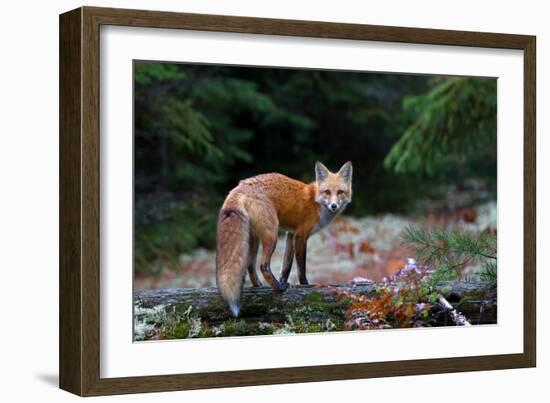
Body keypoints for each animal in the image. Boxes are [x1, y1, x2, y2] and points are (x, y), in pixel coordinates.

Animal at [216, 160, 354, 316]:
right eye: (327, 192)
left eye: (340, 192)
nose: (334, 205)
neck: (316, 202)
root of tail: (240, 186)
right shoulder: (301, 236)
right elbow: (301, 268)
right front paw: (305, 286)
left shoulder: (290, 235)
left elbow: (286, 266)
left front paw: (283, 280)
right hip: (272, 234)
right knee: (263, 266)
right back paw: (278, 288)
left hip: (254, 238)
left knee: (250, 264)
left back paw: (259, 285)